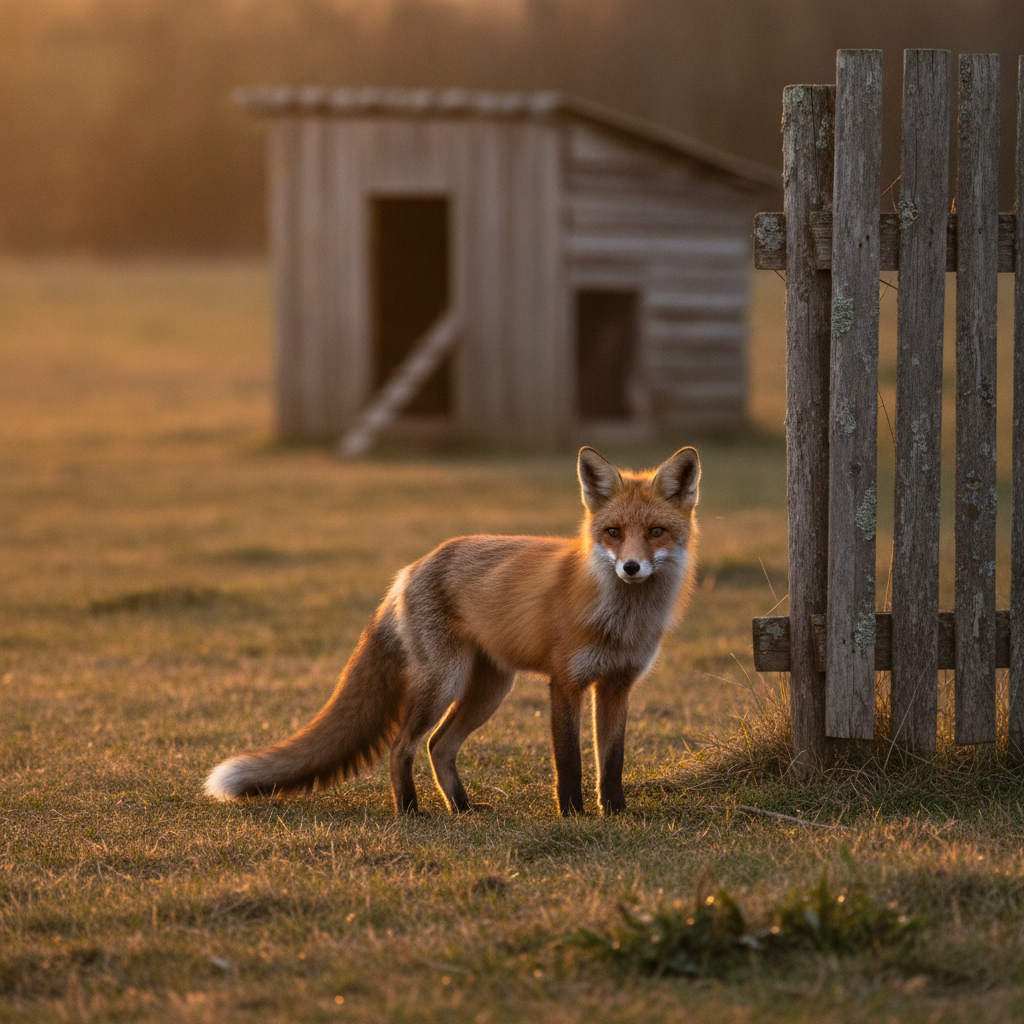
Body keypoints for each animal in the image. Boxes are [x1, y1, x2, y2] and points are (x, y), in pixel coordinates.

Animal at [204, 446, 700, 817]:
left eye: (656, 531)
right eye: (613, 532)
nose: (631, 567)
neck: (621, 620)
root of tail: (412, 567)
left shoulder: (617, 685)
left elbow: (612, 761)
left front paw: (615, 813)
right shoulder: (566, 682)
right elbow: (570, 762)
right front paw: (573, 815)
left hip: (489, 689)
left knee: (439, 746)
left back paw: (461, 808)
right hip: (444, 682)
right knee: (403, 746)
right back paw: (411, 811)